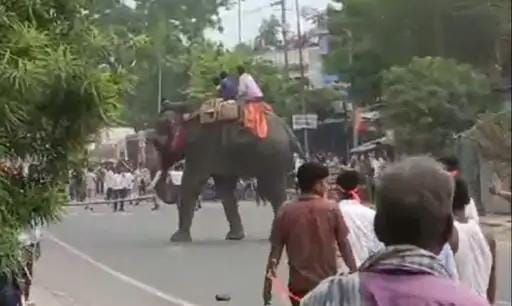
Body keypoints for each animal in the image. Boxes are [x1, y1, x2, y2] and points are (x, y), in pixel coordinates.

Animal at [149, 103, 304, 241]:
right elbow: (224, 189)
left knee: (274, 191)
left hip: (272, 156)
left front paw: (177, 238)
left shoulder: (202, 147)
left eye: (157, 143)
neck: (187, 117)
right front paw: (234, 237)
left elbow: (192, 183)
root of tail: (287, 129)